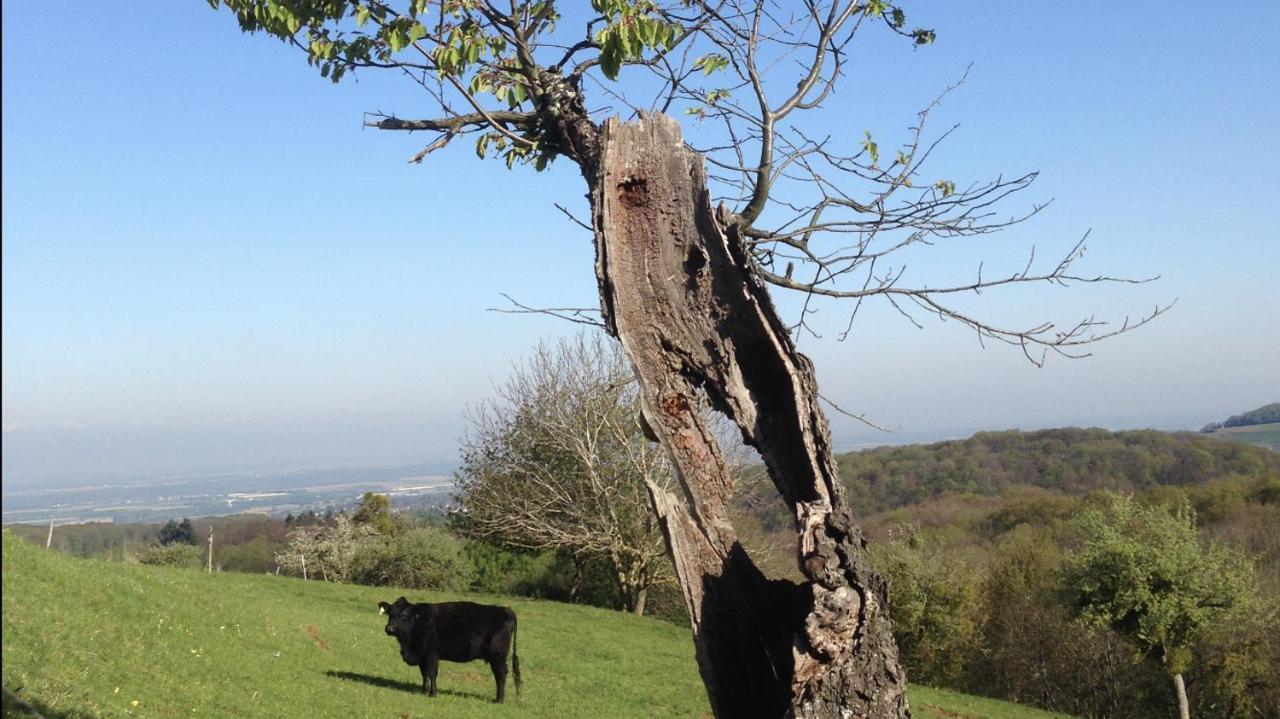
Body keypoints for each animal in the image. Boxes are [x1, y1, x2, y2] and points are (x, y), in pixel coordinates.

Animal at [376, 593, 522, 701]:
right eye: (390, 614)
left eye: (404, 616)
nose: (389, 628)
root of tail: (506, 610)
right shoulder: (422, 655)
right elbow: (424, 673)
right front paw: (423, 690)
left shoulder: (431, 654)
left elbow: (432, 673)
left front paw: (433, 693)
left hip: (498, 656)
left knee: (501, 674)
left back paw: (499, 699)